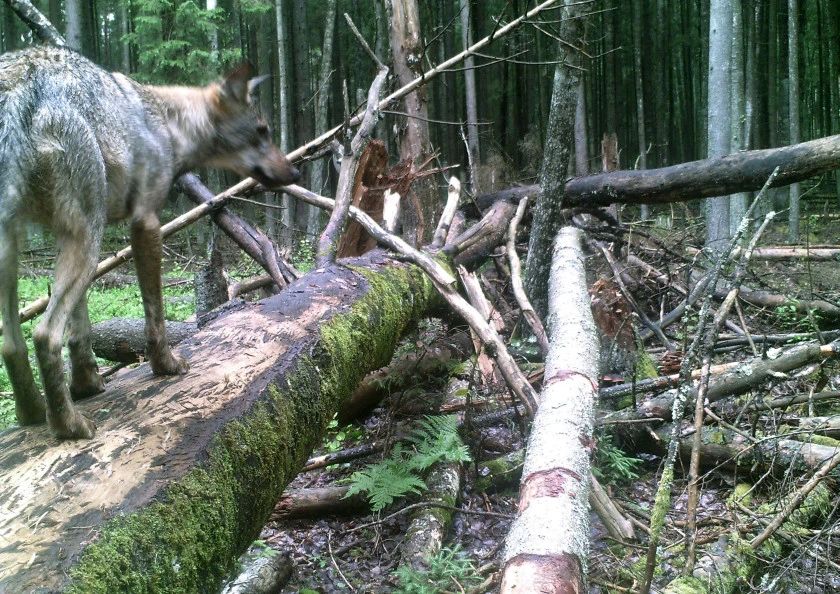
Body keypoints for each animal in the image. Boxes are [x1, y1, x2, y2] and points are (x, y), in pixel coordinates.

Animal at [0, 46, 302, 438]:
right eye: (262, 131)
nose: (296, 172)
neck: (168, 125)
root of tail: (19, 85)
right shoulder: (145, 223)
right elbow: (154, 314)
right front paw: (166, 365)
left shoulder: (60, 235)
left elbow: (80, 331)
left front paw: (86, 384)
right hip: (88, 239)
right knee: (44, 334)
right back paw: (69, 426)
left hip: (26, 247)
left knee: (11, 342)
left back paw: (33, 413)